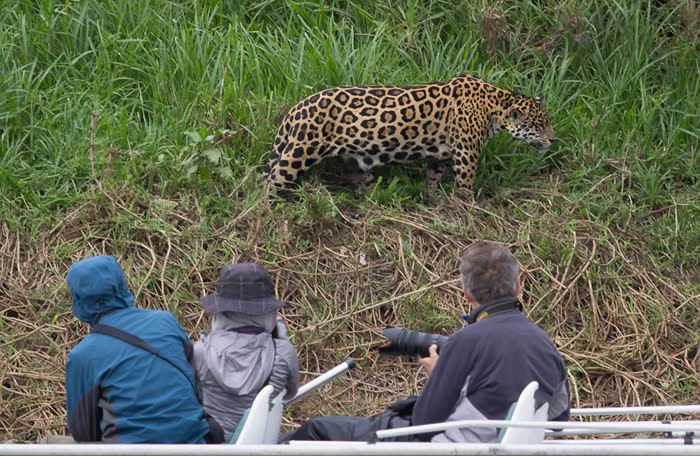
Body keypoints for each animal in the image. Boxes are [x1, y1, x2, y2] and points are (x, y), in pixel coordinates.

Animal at [265, 73, 555, 195]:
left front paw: (433, 200)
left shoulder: (441, 154)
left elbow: (433, 177)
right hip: (301, 151)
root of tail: (296, 109)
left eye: (548, 122)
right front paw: (467, 206)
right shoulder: (466, 153)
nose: (553, 139)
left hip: (352, 158)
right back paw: (269, 208)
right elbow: (464, 183)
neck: (495, 105)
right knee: (271, 181)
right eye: (540, 125)